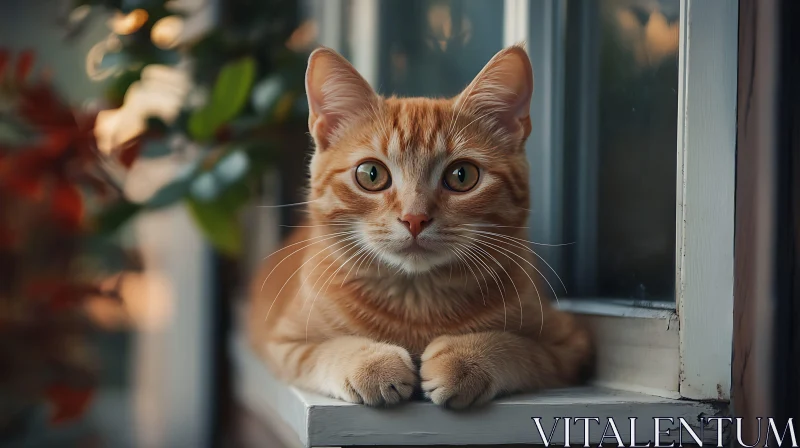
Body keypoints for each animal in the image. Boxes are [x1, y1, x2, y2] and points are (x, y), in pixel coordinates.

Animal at [250, 45, 592, 410]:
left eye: (462, 176)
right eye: (371, 174)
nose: (415, 218)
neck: (415, 301)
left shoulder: (569, 346)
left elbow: (518, 348)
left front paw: (465, 359)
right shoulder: (282, 343)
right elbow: (326, 350)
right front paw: (371, 363)